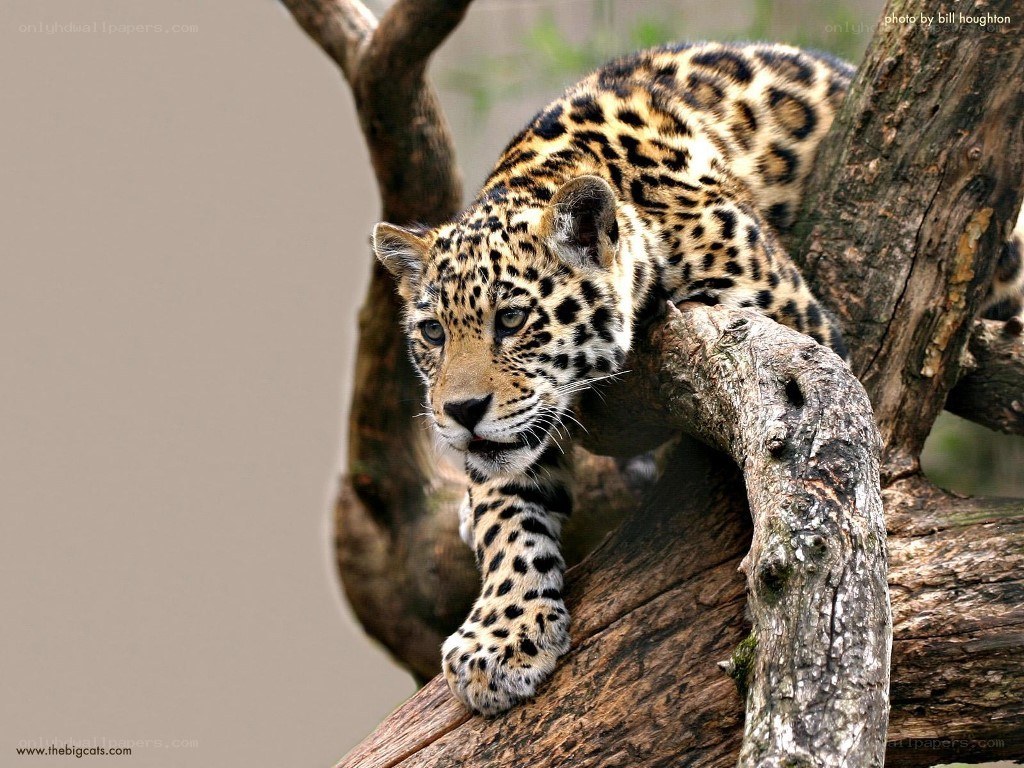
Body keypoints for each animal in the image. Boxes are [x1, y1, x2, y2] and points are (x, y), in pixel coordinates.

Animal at [371, 41, 1024, 716]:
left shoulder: (792, 318)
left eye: (511, 319)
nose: (460, 412)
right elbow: (506, 513)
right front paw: (500, 637)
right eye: (433, 334)